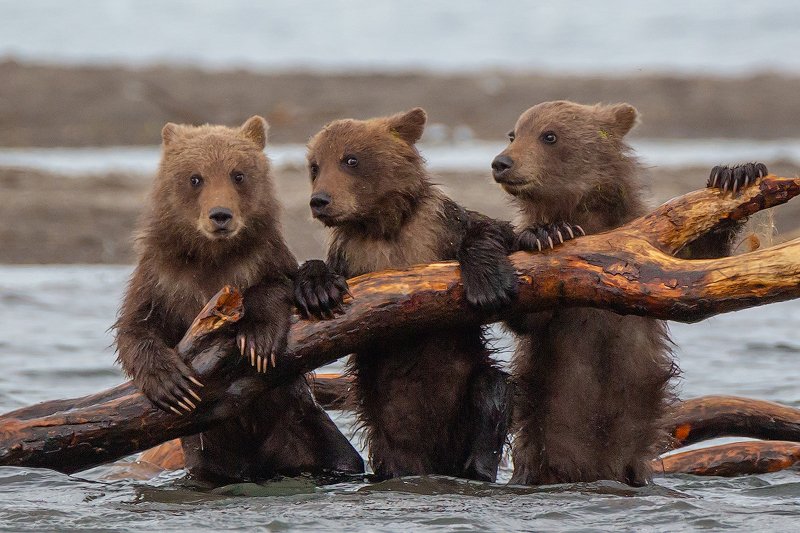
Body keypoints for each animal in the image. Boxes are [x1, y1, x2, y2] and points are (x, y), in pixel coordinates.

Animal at [114, 116, 364, 482]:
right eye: (195, 177)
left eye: (238, 174)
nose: (220, 214)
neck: (212, 258)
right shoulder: (161, 280)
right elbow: (136, 326)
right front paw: (170, 384)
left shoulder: (262, 259)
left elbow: (277, 286)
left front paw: (258, 339)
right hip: (209, 458)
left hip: (304, 429)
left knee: (340, 455)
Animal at [293, 108, 517, 481]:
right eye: (314, 165)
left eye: (350, 159)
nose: (319, 201)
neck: (384, 226)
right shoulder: (353, 253)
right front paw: (317, 289)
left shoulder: (436, 225)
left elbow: (490, 229)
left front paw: (488, 281)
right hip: (388, 432)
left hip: (465, 389)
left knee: (492, 389)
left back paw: (481, 461)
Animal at [490, 100, 767, 485]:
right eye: (514, 133)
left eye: (549, 135)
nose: (502, 163)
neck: (588, 214)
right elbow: (532, 316)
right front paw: (545, 233)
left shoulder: (652, 241)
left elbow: (700, 273)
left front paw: (736, 173)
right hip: (539, 443)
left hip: (632, 456)